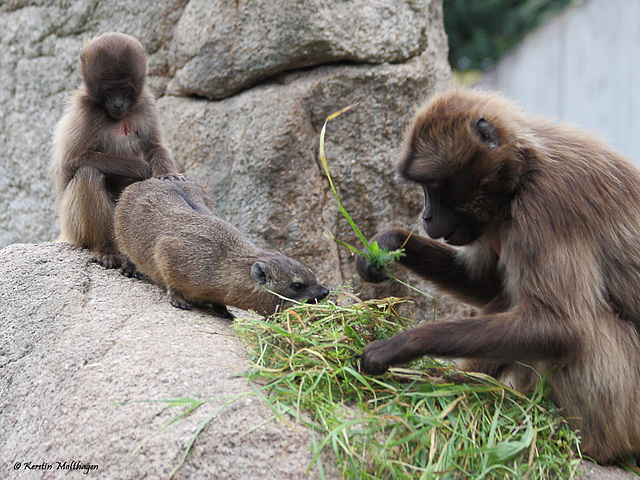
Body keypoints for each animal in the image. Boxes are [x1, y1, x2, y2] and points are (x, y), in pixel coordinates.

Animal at [50, 31, 178, 268]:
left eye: (125, 89)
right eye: (109, 90)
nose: (118, 104)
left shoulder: (145, 102)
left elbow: (155, 147)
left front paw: (167, 174)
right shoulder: (86, 112)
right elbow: (72, 161)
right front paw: (141, 169)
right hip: (74, 227)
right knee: (88, 174)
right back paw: (106, 249)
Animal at [114, 177, 330, 318]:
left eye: (313, 275)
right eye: (297, 285)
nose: (325, 291)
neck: (224, 269)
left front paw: (225, 311)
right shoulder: (169, 249)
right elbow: (171, 282)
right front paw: (179, 300)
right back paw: (129, 270)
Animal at [358, 88, 640, 464]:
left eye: (434, 186)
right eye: (424, 188)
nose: (427, 216)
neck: (524, 168)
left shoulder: (549, 202)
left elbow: (563, 326)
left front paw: (402, 345)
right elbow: (483, 285)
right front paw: (388, 243)